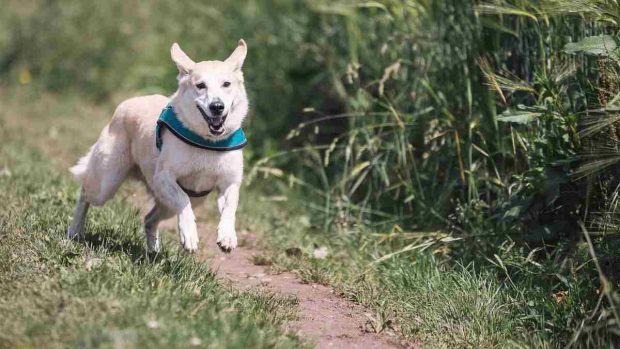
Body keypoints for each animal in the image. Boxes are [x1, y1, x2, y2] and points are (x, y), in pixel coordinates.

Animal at [66, 39, 248, 251]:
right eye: (200, 85)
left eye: (226, 84)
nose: (217, 107)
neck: (207, 142)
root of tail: (127, 103)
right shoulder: (163, 178)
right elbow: (183, 200)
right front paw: (190, 235)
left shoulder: (229, 182)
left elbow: (230, 207)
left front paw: (227, 236)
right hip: (106, 182)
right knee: (85, 193)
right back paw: (75, 230)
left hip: (184, 200)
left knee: (149, 219)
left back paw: (153, 251)